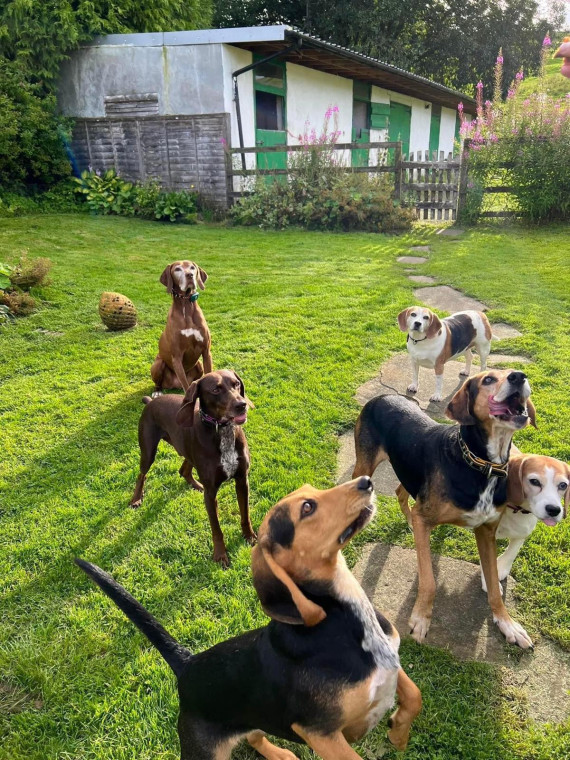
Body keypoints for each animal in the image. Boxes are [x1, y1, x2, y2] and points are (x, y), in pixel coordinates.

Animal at [75, 480, 420, 760]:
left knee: (253, 736)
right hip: (204, 752)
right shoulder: (319, 733)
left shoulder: (391, 660)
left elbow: (413, 695)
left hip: (253, 717)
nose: (366, 481)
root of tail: (188, 664)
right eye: (307, 507)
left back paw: (280, 754)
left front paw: (398, 733)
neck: (344, 617)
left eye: (314, 491)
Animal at [150, 260, 212, 394]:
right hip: (158, 363)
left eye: (192, 267)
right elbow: (186, 386)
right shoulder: (177, 357)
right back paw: (157, 391)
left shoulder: (206, 351)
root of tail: (174, 385)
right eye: (177, 269)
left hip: (199, 364)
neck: (186, 305)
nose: (190, 275)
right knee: (159, 382)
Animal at [352, 372, 536, 652]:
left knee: (401, 492)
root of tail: (383, 396)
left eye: (513, 372)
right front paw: (420, 619)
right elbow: (429, 581)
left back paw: (408, 521)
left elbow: (494, 585)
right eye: (488, 379)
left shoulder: (487, 532)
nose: (519, 376)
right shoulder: (426, 518)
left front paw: (507, 624)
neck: (482, 465)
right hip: (364, 464)